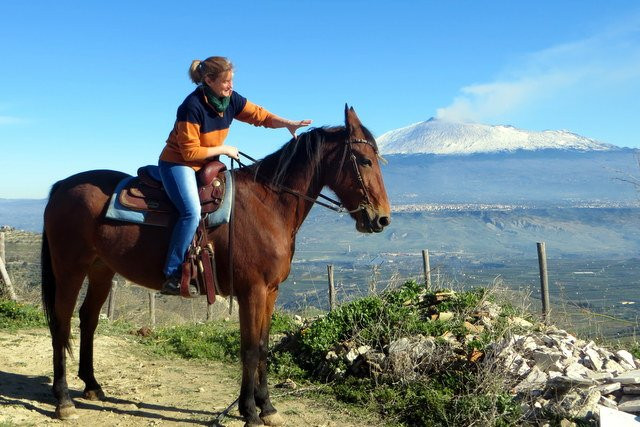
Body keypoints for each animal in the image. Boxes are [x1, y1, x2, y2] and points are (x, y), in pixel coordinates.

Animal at [41, 105, 390, 426]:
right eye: (364, 160)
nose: (382, 219)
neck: (269, 204)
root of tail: (62, 186)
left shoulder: (270, 292)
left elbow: (262, 346)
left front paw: (267, 407)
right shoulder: (251, 292)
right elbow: (249, 349)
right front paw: (249, 411)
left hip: (101, 269)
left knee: (88, 319)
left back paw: (92, 386)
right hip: (69, 268)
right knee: (61, 322)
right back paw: (63, 400)